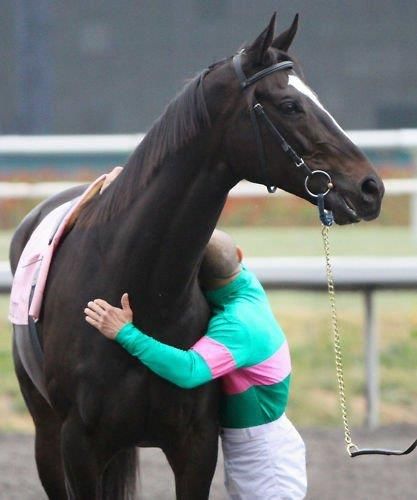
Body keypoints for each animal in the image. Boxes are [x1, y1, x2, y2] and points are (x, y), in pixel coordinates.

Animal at [9, 13, 384, 498]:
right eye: (289, 105)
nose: (371, 188)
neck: (139, 288)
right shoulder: (79, 444)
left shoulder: (197, 444)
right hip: (47, 437)